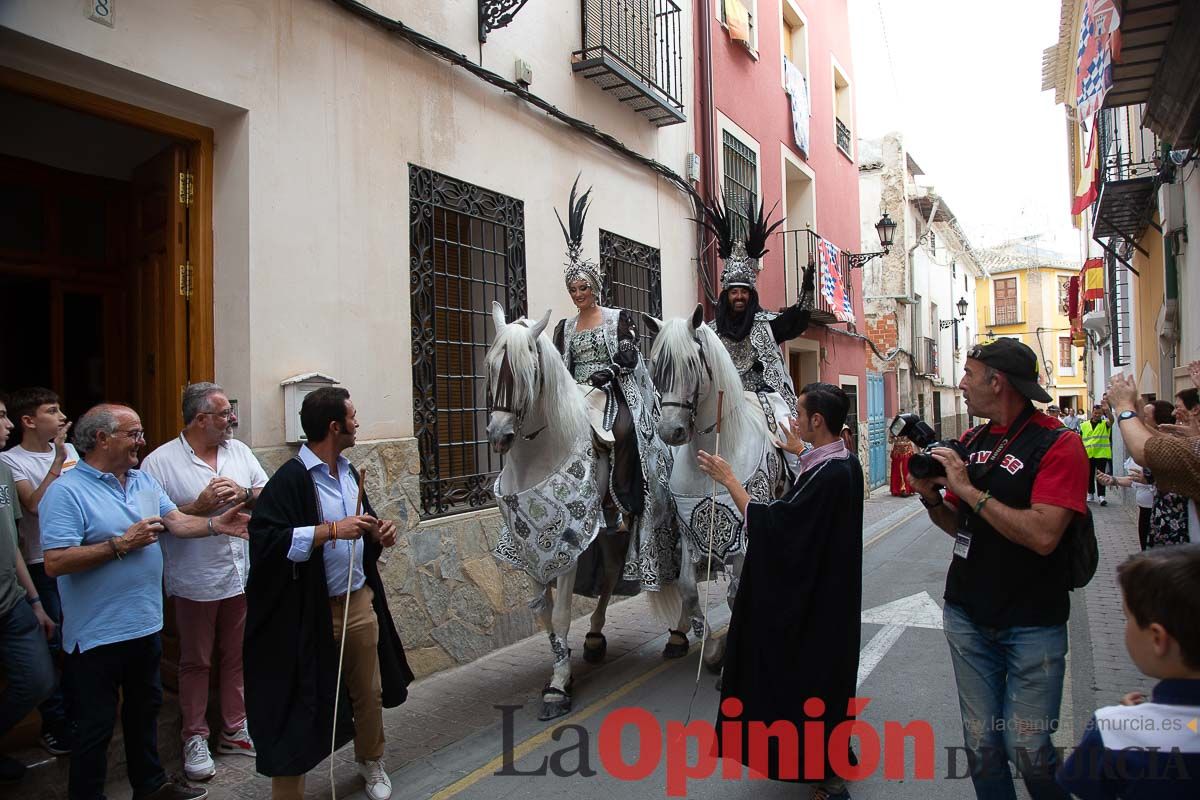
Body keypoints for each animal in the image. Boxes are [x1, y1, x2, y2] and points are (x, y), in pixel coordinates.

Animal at [484, 302, 643, 719]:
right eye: (490, 365)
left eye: (528, 370)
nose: (499, 435)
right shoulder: (530, 548)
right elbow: (542, 611)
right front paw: (561, 667)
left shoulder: (567, 547)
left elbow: (560, 613)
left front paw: (557, 688)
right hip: (607, 534)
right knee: (610, 575)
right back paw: (594, 639)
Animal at [648, 303, 787, 671]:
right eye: (657, 367)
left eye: (692, 364)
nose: (671, 431)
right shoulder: (689, 532)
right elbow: (688, 588)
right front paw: (710, 647)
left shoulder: (743, 533)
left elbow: (735, 592)